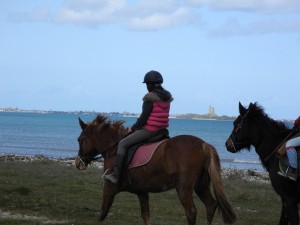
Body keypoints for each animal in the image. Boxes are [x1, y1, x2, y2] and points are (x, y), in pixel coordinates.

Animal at [74, 115, 236, 224]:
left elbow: (102, 214)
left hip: (183, 188)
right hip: (200, 185)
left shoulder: (109, 188)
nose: (78, 163)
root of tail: (203, 144)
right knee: (211, 205)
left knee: (191, 211)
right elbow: (145, 215)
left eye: (80, 139)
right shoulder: (142, 192)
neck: (113, 148)